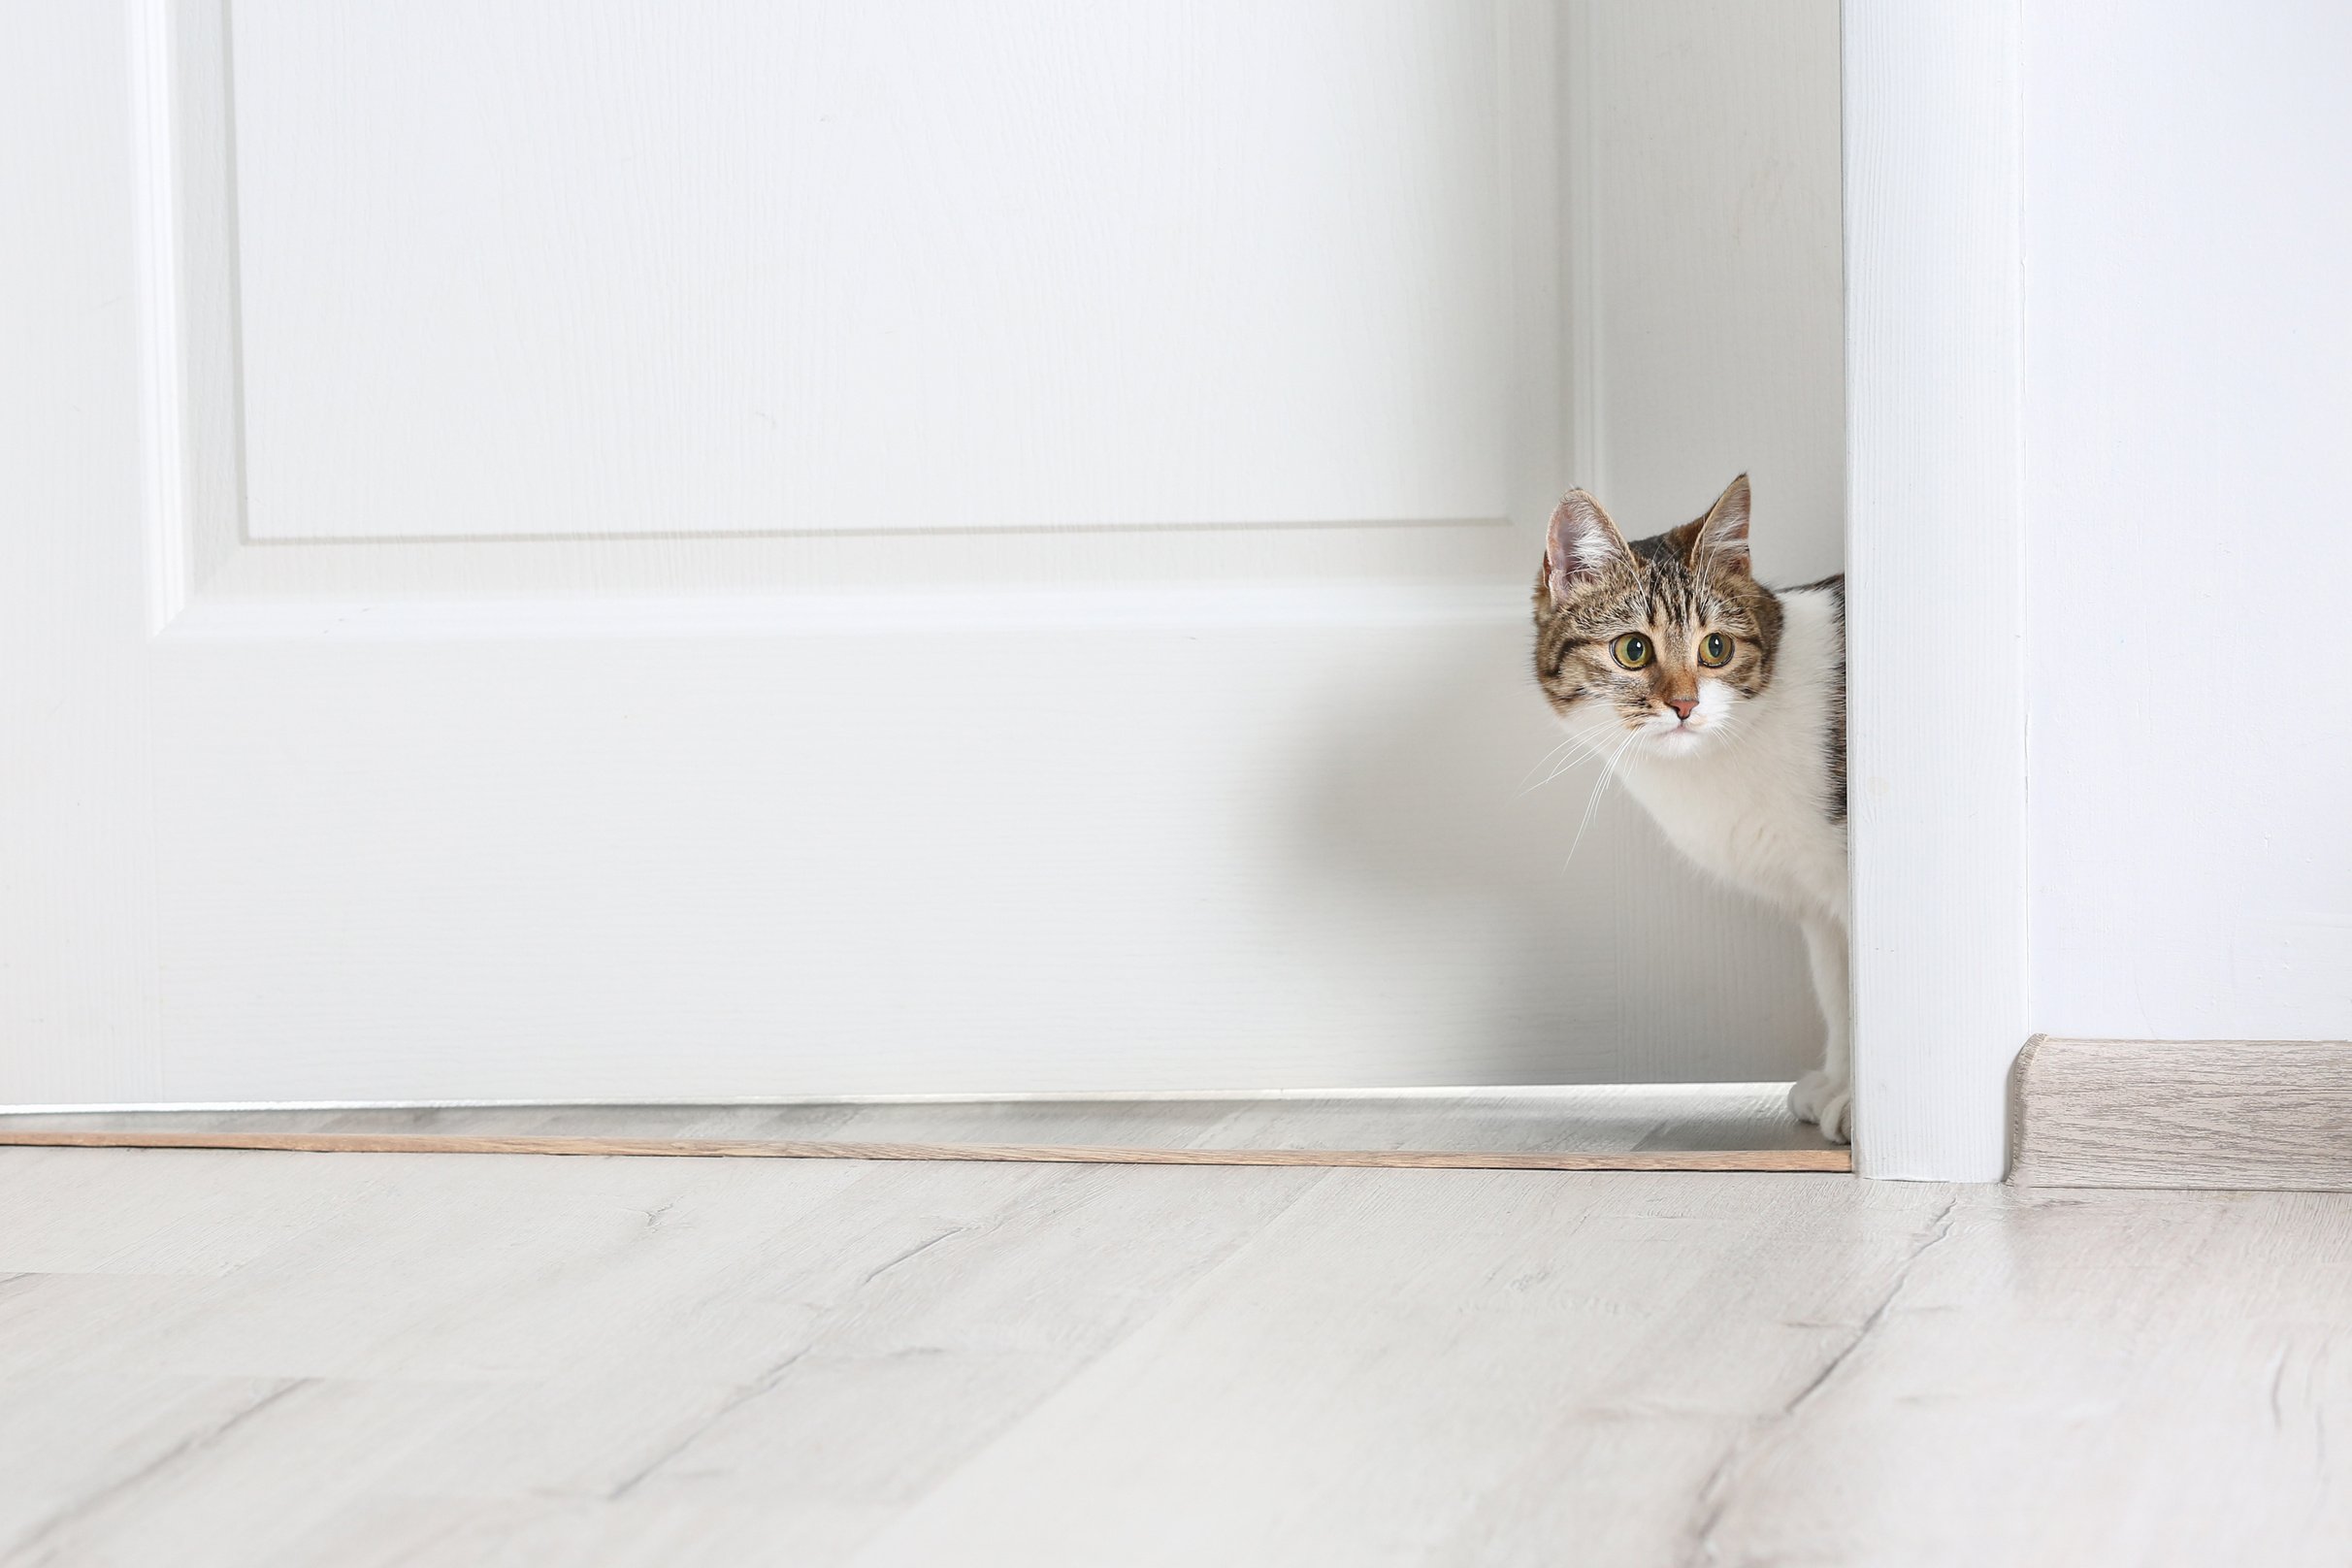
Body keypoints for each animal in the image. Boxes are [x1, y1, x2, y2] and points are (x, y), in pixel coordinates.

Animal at [1523, 474, 1853, 1142]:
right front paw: (1839, 1082)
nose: (1683, 705)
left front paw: (1862, 1101)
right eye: (1632, 650)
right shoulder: (1817, 899)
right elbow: (1837, 990)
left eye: (1717, 648)